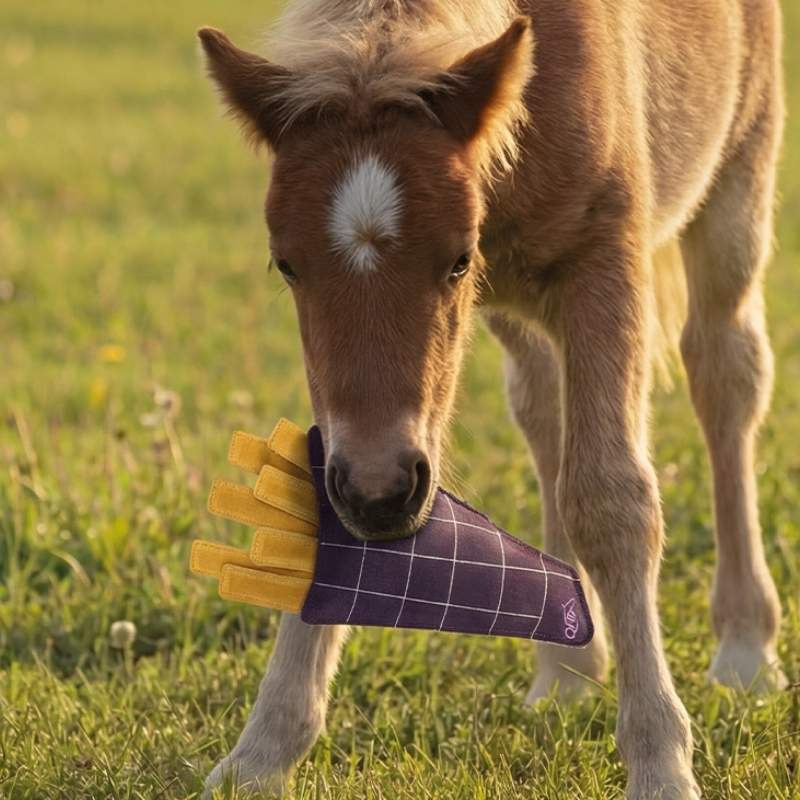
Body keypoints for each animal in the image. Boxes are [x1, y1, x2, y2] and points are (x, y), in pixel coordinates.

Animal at [197, 0, 786, 796]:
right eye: (285, 264)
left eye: (456, 259)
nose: (380, 495)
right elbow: (312, 499)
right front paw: (258, 755)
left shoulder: (606, 261)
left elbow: (613, 499)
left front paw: (661, 762)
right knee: (544, 413)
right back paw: (568, 672)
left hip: (737, 181)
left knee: (726, 375)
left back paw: (746, 647)